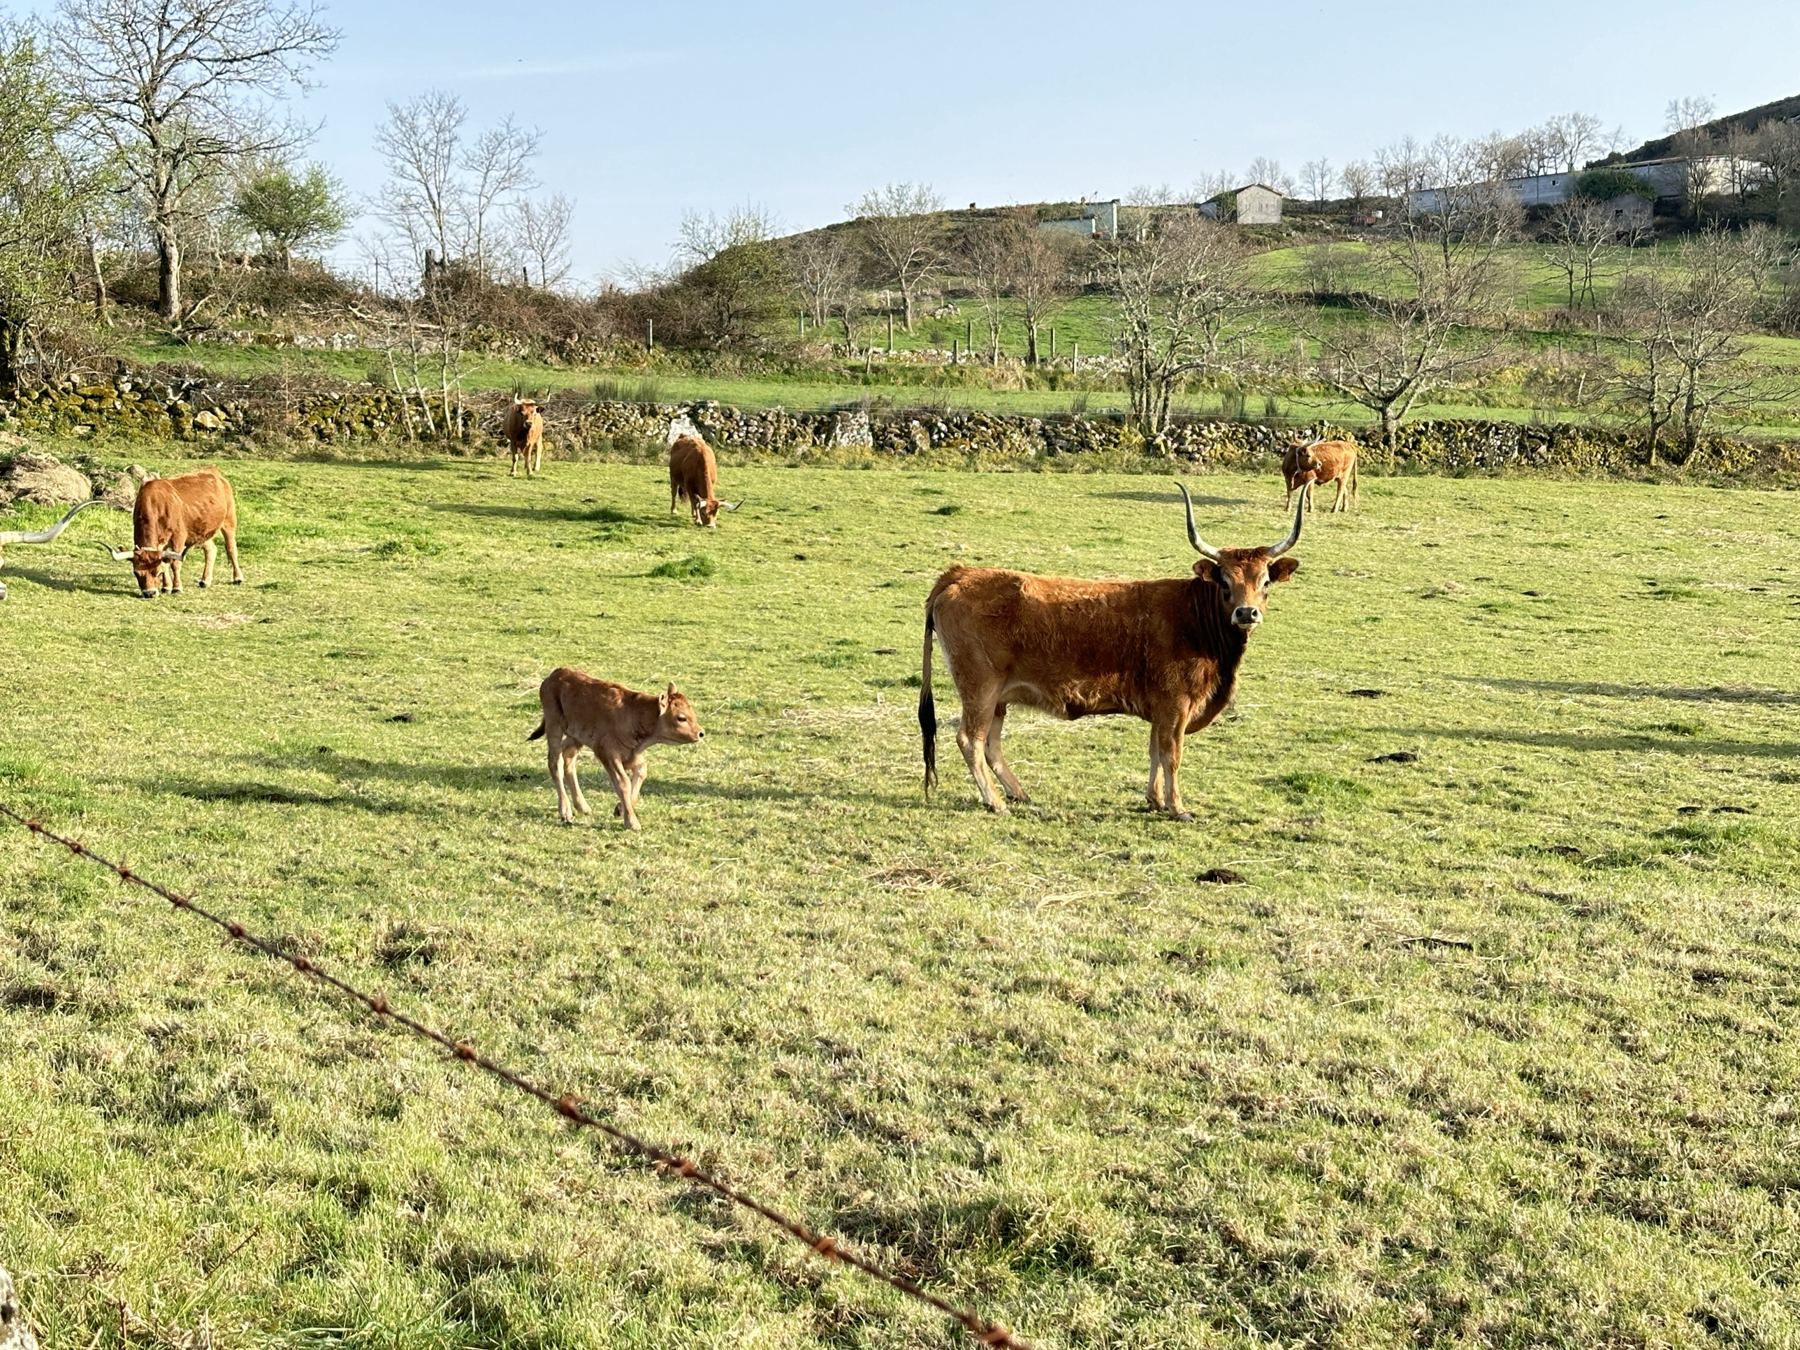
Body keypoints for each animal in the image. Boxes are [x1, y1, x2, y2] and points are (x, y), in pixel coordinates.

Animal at [107, 467, 243, 598]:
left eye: (157, 572)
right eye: (136, 573)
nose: (149, 593)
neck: (157, 504)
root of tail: (214, 472)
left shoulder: (178, 537)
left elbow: (175, 563)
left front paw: (177, 587)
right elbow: (166, 562)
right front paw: (166, 587)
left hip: (229, 521)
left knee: (232, 549)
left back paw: (238, 577)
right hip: (201, 531)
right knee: (211, 550)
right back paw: (205, 580)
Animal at [527, 667, 705, 830]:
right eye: (681, 717)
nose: (700, 733)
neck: (634, 713)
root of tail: (556, 674)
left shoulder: (632, 754)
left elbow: (641, 772)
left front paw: (620, 809)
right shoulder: (608, 754)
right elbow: (623, 783)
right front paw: (632, 823)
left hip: (576, 737)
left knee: (568, 758)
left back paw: (583, 807)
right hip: (554, 726)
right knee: (555, 763)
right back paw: (565, 811)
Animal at [919, 484, 1303, 821]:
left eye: (1265, 582)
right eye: (1224, 581)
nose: (1246, 613)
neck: (1193, 617)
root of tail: (959, 574)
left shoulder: (1162, 708)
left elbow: (1155, 751)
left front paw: (1155, 800)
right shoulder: (1175, 704)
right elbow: (1171, 755)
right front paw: (1177, 808)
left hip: (998, 697)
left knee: (991, 745)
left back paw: (1018, 793)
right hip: (980, 688)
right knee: (971, 740)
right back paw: (996, 801)